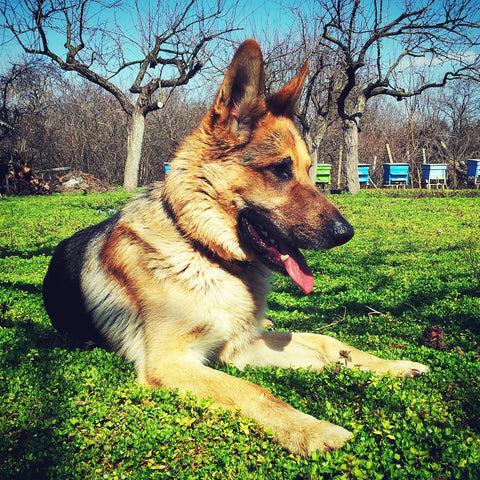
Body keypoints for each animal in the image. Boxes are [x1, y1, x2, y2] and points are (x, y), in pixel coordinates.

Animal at [43, 39, 430, 456]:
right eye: (280, 169)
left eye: (310, 170)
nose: (347, 233)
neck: (204, 252)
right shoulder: (170, 362)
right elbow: (253, 390)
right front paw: (313, 430)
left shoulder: (239, 347)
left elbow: (327, 342)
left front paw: (390, 366)